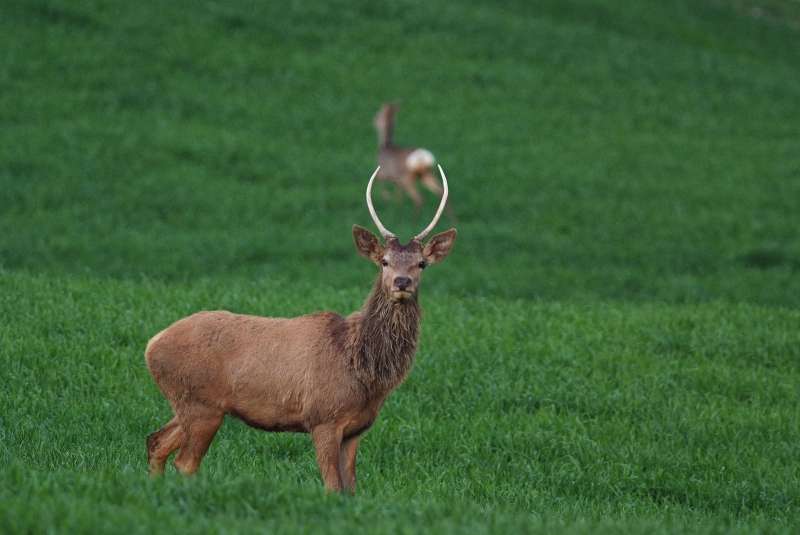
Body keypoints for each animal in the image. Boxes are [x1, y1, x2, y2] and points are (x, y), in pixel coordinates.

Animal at [144, 166, 456, 494]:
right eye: (384, 261)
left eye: (421, 263)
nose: (401, 282)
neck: (361, 365)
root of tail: (151, 345)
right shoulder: (323, 417)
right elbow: (332, 486)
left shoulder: (357, 428)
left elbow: (351, 489)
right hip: (201, 403)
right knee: (185, 462)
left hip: (188, 404)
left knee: (155, 441)